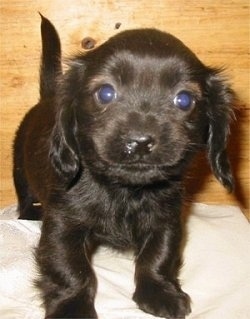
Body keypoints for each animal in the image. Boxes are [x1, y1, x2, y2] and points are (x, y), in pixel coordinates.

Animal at [13, 15, 234, 319]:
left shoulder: (166, 220)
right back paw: (29, 213)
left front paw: (160, 292)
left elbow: (158, 256)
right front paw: (72, 307)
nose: (139, 141)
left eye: (184, 100)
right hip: (20, 173)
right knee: (23, 200)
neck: (125, 191)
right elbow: (70, 268)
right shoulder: (62, 224)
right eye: (105, 93)